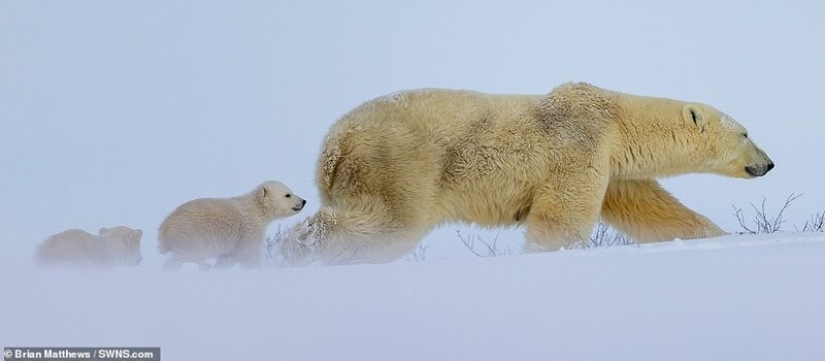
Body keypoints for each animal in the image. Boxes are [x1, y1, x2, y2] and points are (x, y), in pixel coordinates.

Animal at [159, 180, 306, 270]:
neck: (257, 208)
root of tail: (165, 227)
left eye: (290, 191)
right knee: (184, 256)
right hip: (192, 236)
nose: (303, 201)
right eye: (287, 194)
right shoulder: (250, 228)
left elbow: (229, 257)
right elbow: (249, 253)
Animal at [276, 83, 772, 266]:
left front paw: (722, 236)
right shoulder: (579, 146)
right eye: (746, 132)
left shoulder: (612, 166)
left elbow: (652, 208)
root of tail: (333, 147)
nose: (769, 163)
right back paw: (296, 250)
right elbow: (561, 216)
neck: (613, 117)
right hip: (400, 164)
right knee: (386, 223)